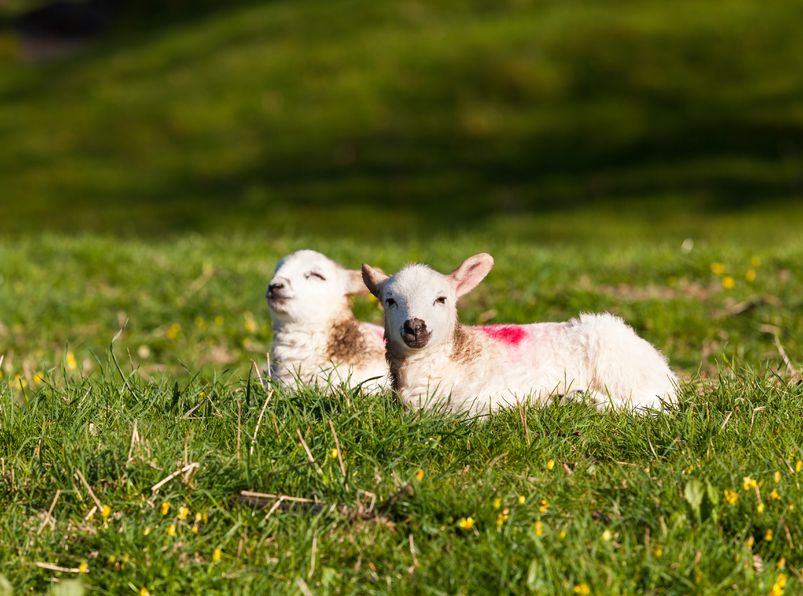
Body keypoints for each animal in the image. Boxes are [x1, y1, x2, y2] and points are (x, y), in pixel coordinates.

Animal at [361, 253, 677, 414]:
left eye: (442, 299)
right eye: (390, 300)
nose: (415, 326)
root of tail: (661, 365)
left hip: (620, 365)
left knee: (652, 403)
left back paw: (582, 399)